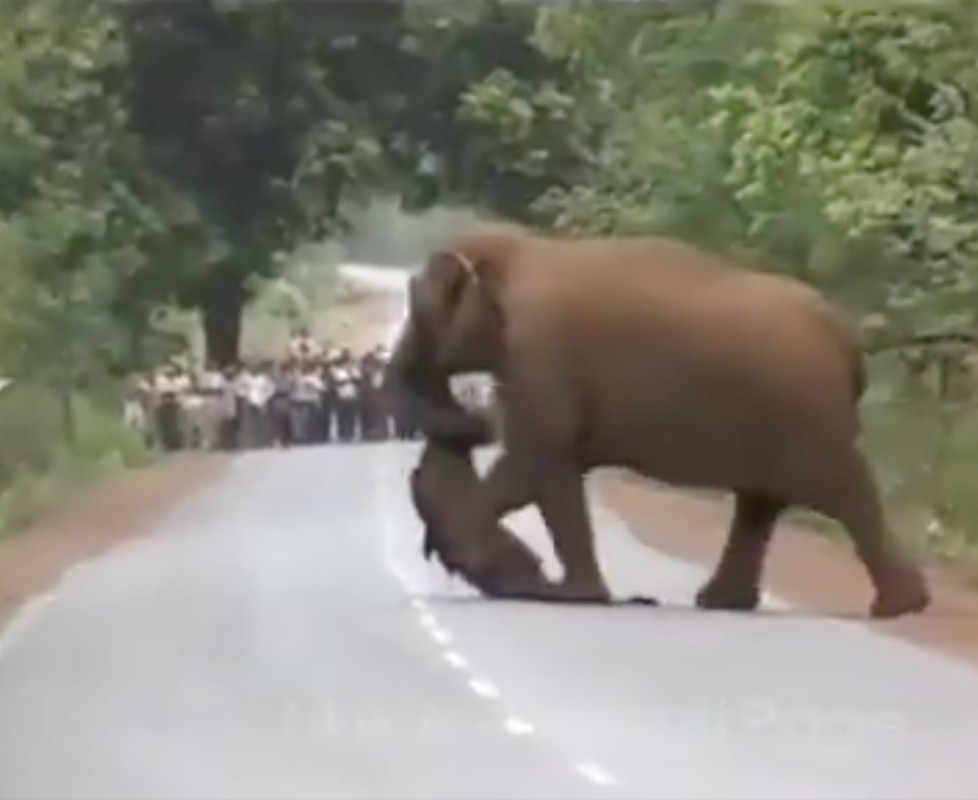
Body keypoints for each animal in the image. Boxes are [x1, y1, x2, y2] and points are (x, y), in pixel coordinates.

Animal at [386, 225, 928, 620]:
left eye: (418, 306)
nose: (473, 414)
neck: (518, 249)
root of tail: (847, 338)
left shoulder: (538, 351)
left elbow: (538, 463)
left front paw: (565, 594)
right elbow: (551, 469)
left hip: (807, 415)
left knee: (843, 492)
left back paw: (897, 608)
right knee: (761, 502)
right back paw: (722, 603)